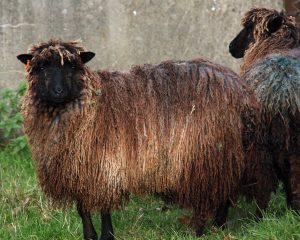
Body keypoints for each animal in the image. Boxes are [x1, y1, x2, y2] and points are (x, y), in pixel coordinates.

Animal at [17, 39, 258, 238]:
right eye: (41, 67)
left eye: (73, 67)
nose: (58, 91)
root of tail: (242, 92)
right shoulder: (77, 172)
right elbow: (82, 209)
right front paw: (89, 236)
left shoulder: (104, 166)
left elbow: (104, 207)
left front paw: (107, 235)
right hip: (226, 153)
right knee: (225, 190)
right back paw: (219, 225)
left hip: (206, 154)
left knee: (211, 194)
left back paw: (198, 230)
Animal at [230, 7, 300, 212]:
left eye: (249, 27)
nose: (231, 47)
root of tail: (283, 90)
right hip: (292, 144)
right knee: (294, 178)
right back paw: (294, 210)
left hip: (259, 143)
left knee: (263, 181)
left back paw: (260, 214)